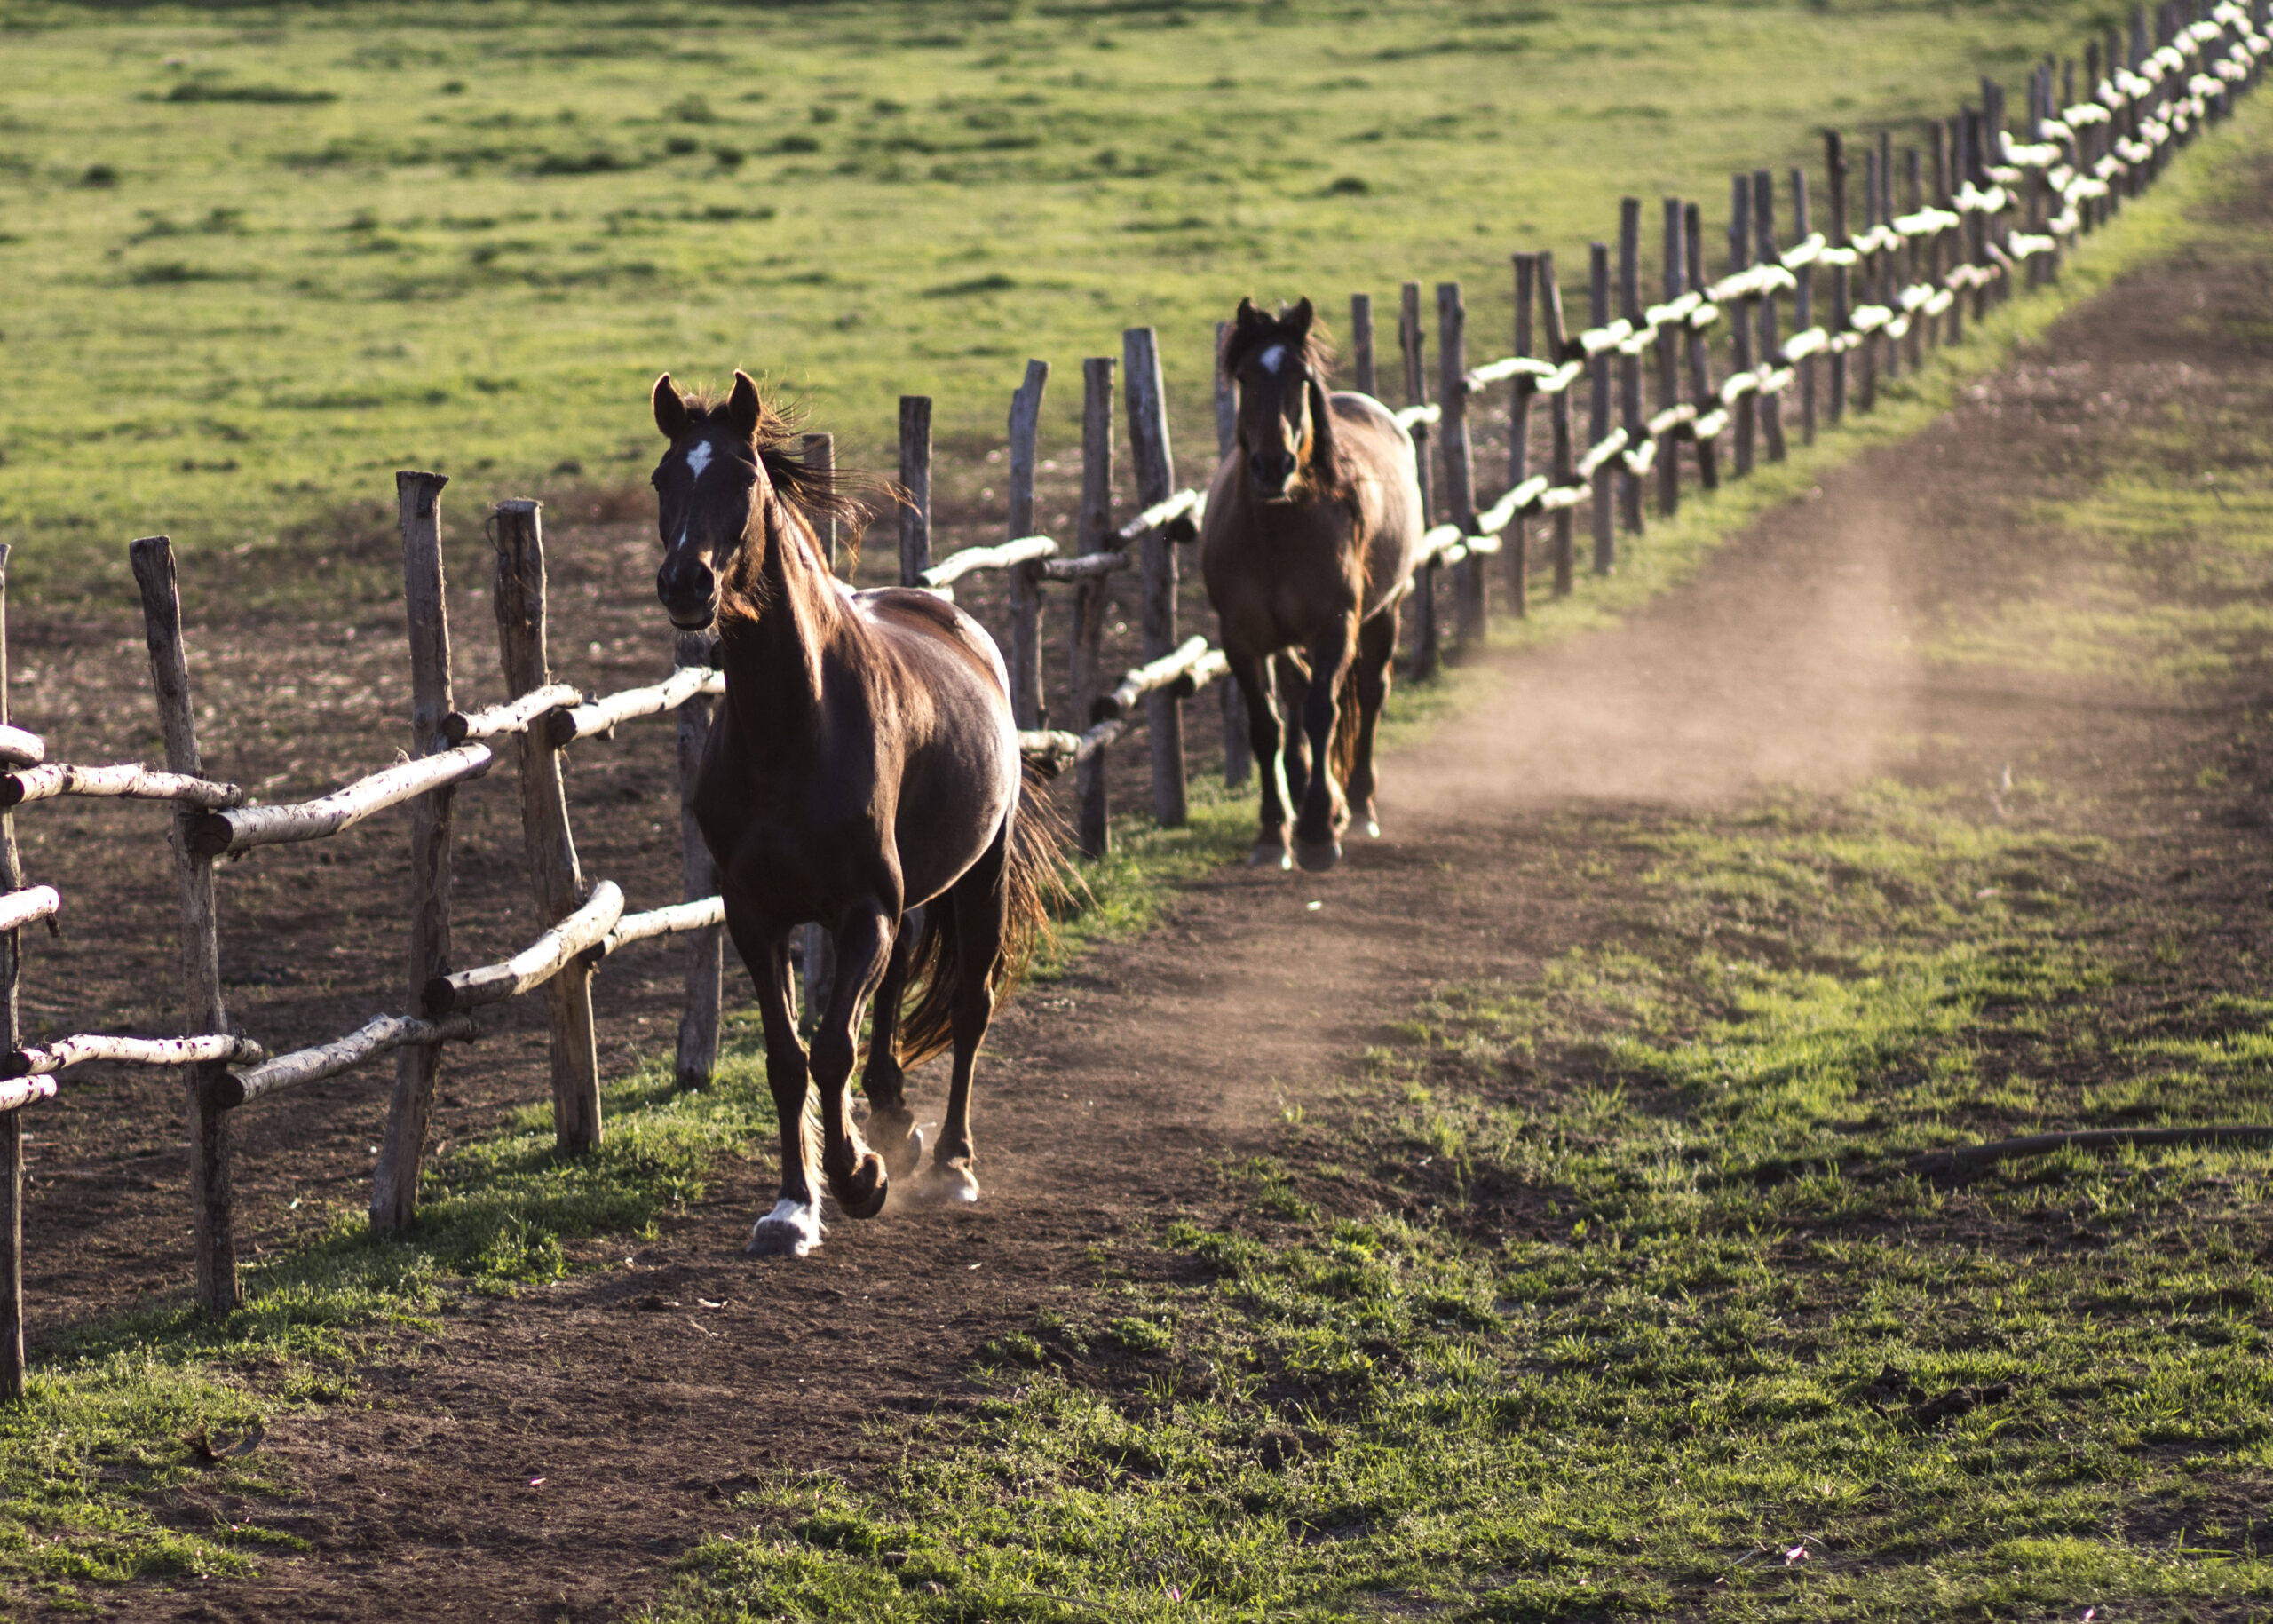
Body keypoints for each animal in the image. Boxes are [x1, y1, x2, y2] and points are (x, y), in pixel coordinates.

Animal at [650, 366, 1054, 1256]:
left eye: (744, 478)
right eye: (663, 479)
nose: (686, 583)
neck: (794, 727)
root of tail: (957, 619)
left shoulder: (864, 903)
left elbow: (831, 1045)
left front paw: (857, 1176)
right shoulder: (755, 912)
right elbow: (785, 1057)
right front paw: (793, 1206)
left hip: (979, 875)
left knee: (969, 1005)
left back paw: (949, 1161)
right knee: (898, 990)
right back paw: (898, 1122)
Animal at [1208, 296, 1418, 868]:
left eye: (1300, 377)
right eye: (1244, 376)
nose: (1272, 465)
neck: (1276, 532)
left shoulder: (1334, 626)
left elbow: (1326, 713)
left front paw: (1320, 830)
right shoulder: (1241, 639)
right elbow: (1267, 727)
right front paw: (1272, 831)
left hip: (1384, 613)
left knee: (1369, 693)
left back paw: (1359, 806)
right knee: (1298, 695)